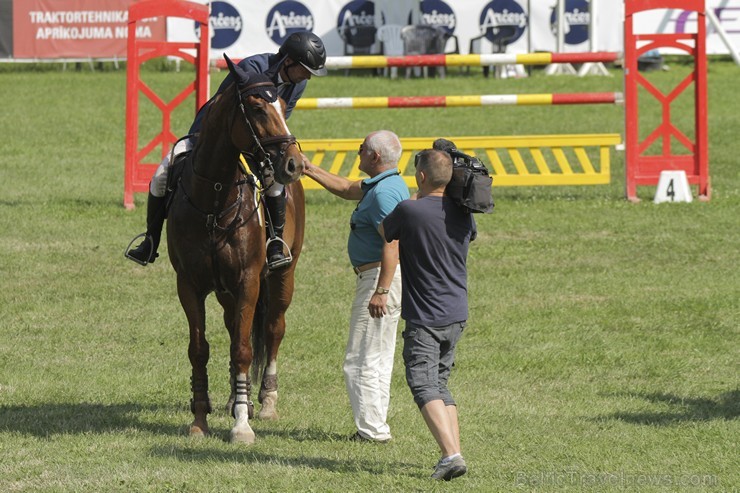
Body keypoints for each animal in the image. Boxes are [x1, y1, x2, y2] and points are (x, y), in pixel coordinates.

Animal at [166, 54, 304, 442]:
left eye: (283, 106)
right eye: (257, 108)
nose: (293, 164)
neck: (214, 199)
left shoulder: (248, 281)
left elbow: (244, 349)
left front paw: (242, 425)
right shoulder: (189, 285)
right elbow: (199, 350)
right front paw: (200, 418)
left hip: (282, 277)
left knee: (272, 329)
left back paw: (265, 401)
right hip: (226, 292)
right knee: (232, 327)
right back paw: (234, 398)